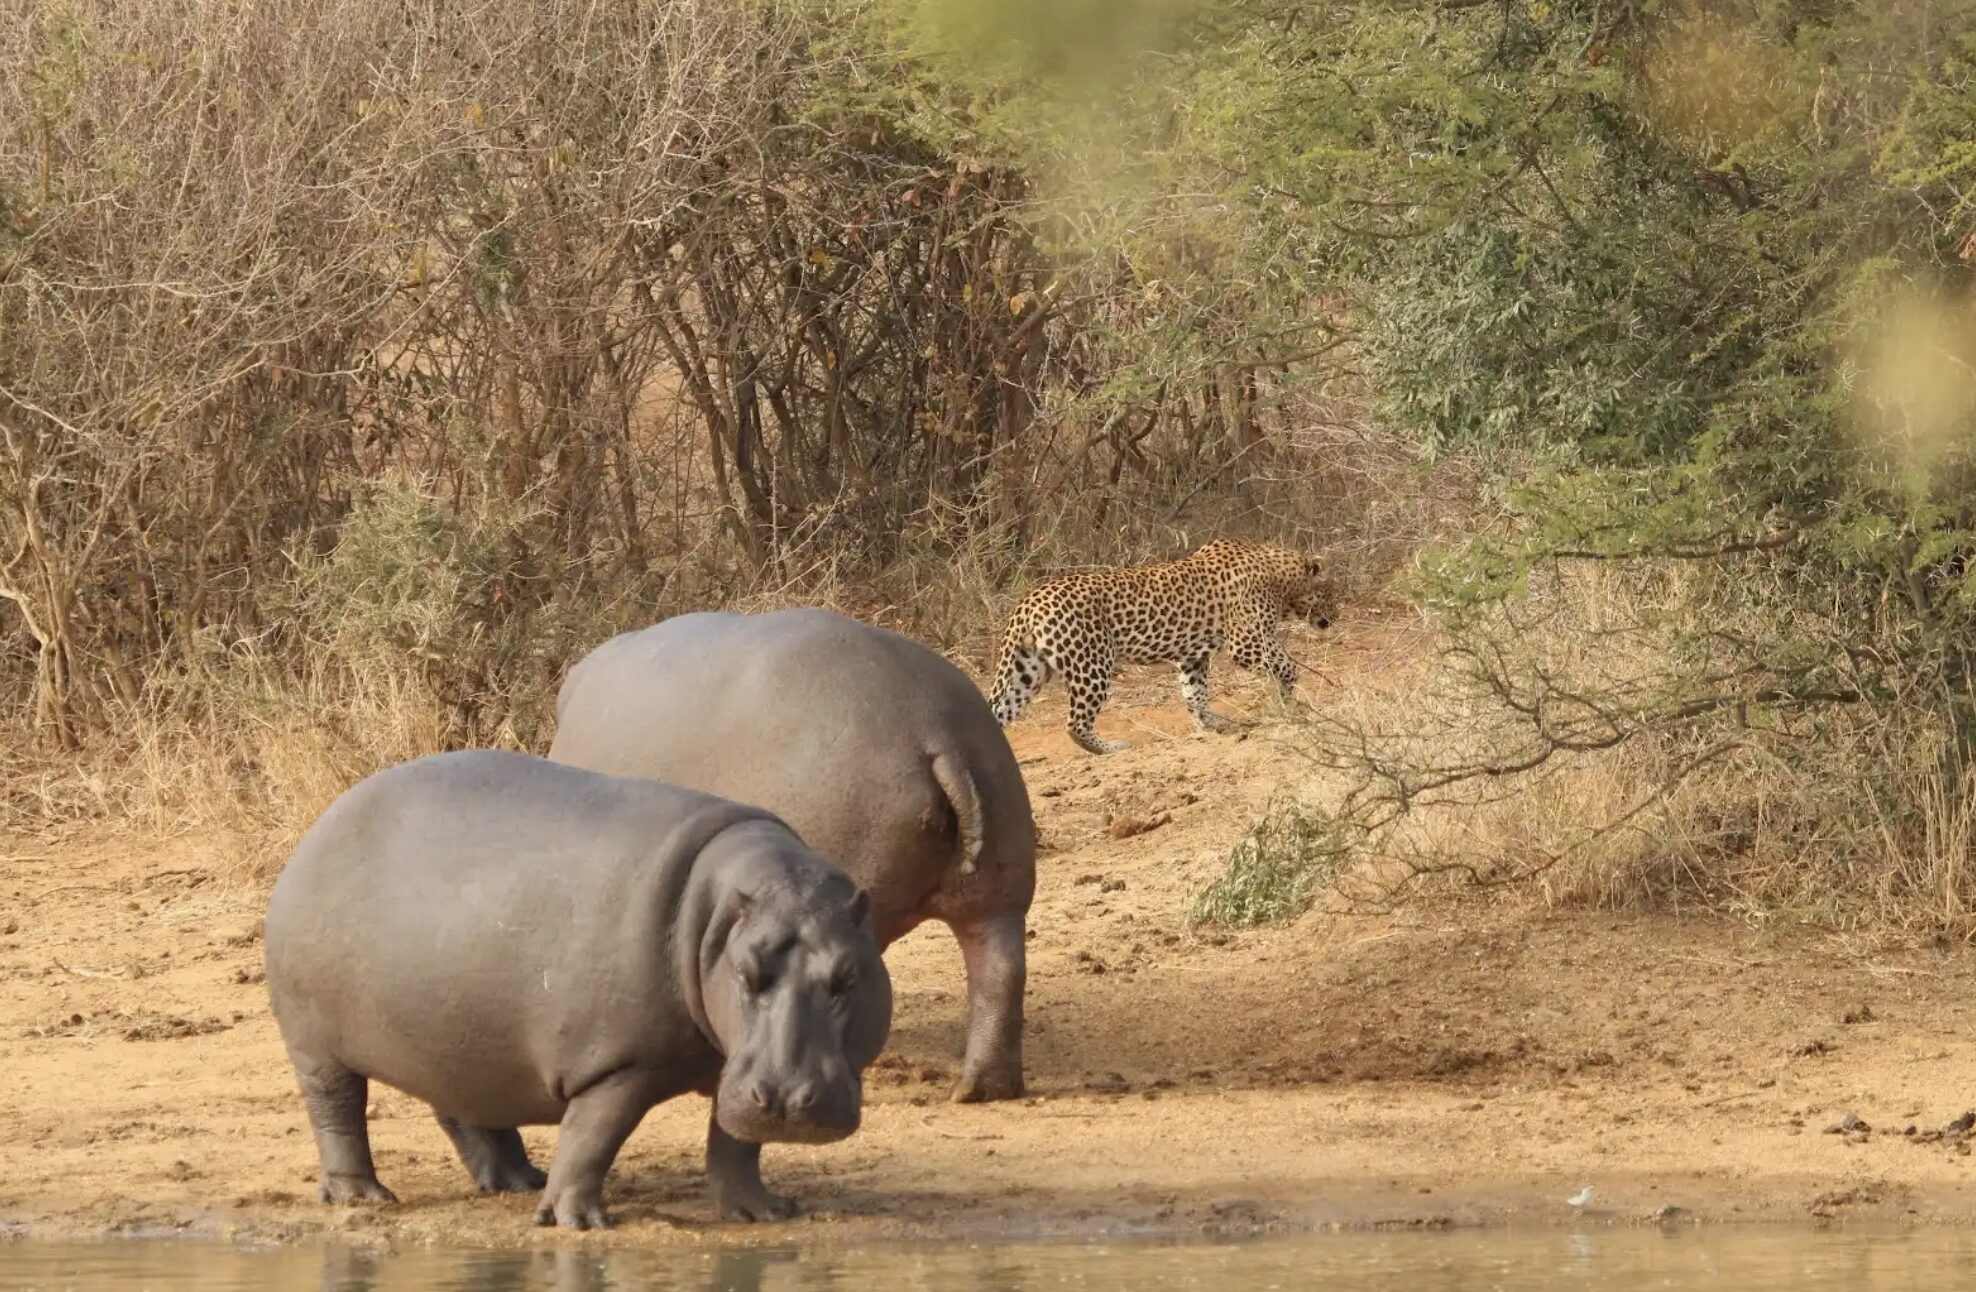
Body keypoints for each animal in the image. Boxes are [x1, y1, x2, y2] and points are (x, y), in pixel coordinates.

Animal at [263, 749, 892, 1228]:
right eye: (744, 971)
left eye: (848, 975)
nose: (786, 1099)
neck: (719, 916)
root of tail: (323, 824)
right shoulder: (618, 1064)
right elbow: (594, 1136)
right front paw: (578, 1222)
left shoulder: (733, 1066)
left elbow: (735, 1142)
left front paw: (763, 1212)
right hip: (316, 1048)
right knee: (337, 1111)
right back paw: (363, 1196)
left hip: (455, 1037)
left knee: (465, 1109)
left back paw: (518, 1181)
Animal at [985, 539, 1338, 755]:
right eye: (1331, 593)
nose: (1337, 615)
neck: (1283, 580)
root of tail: (1027, 603)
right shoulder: (1247, 642)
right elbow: (1287, 666)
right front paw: (1289, 700)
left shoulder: (1193, 656)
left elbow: (1195, 694)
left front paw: (1210, 724)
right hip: (1092, 665)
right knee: (1075, 723)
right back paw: (1110, 748)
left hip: (1027, 671)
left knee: (1000, 712)